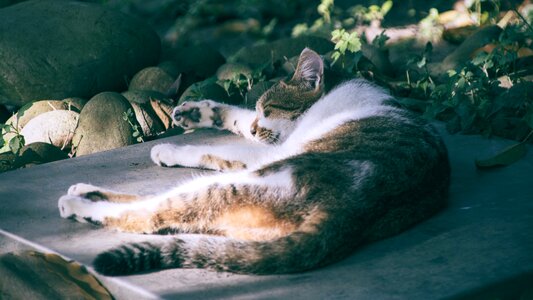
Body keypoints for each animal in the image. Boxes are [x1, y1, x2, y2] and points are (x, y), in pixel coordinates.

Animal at [58, 48, 448, 276]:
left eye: (271, 109)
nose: (259, 126)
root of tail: (351, 210)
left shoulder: (271, 150)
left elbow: (218, 148)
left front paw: (171, 149)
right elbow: (236, 118)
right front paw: (197, 111)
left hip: (236, 183)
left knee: (147, 214)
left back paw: (78, 203)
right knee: (158, 209)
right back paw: (84, 190)